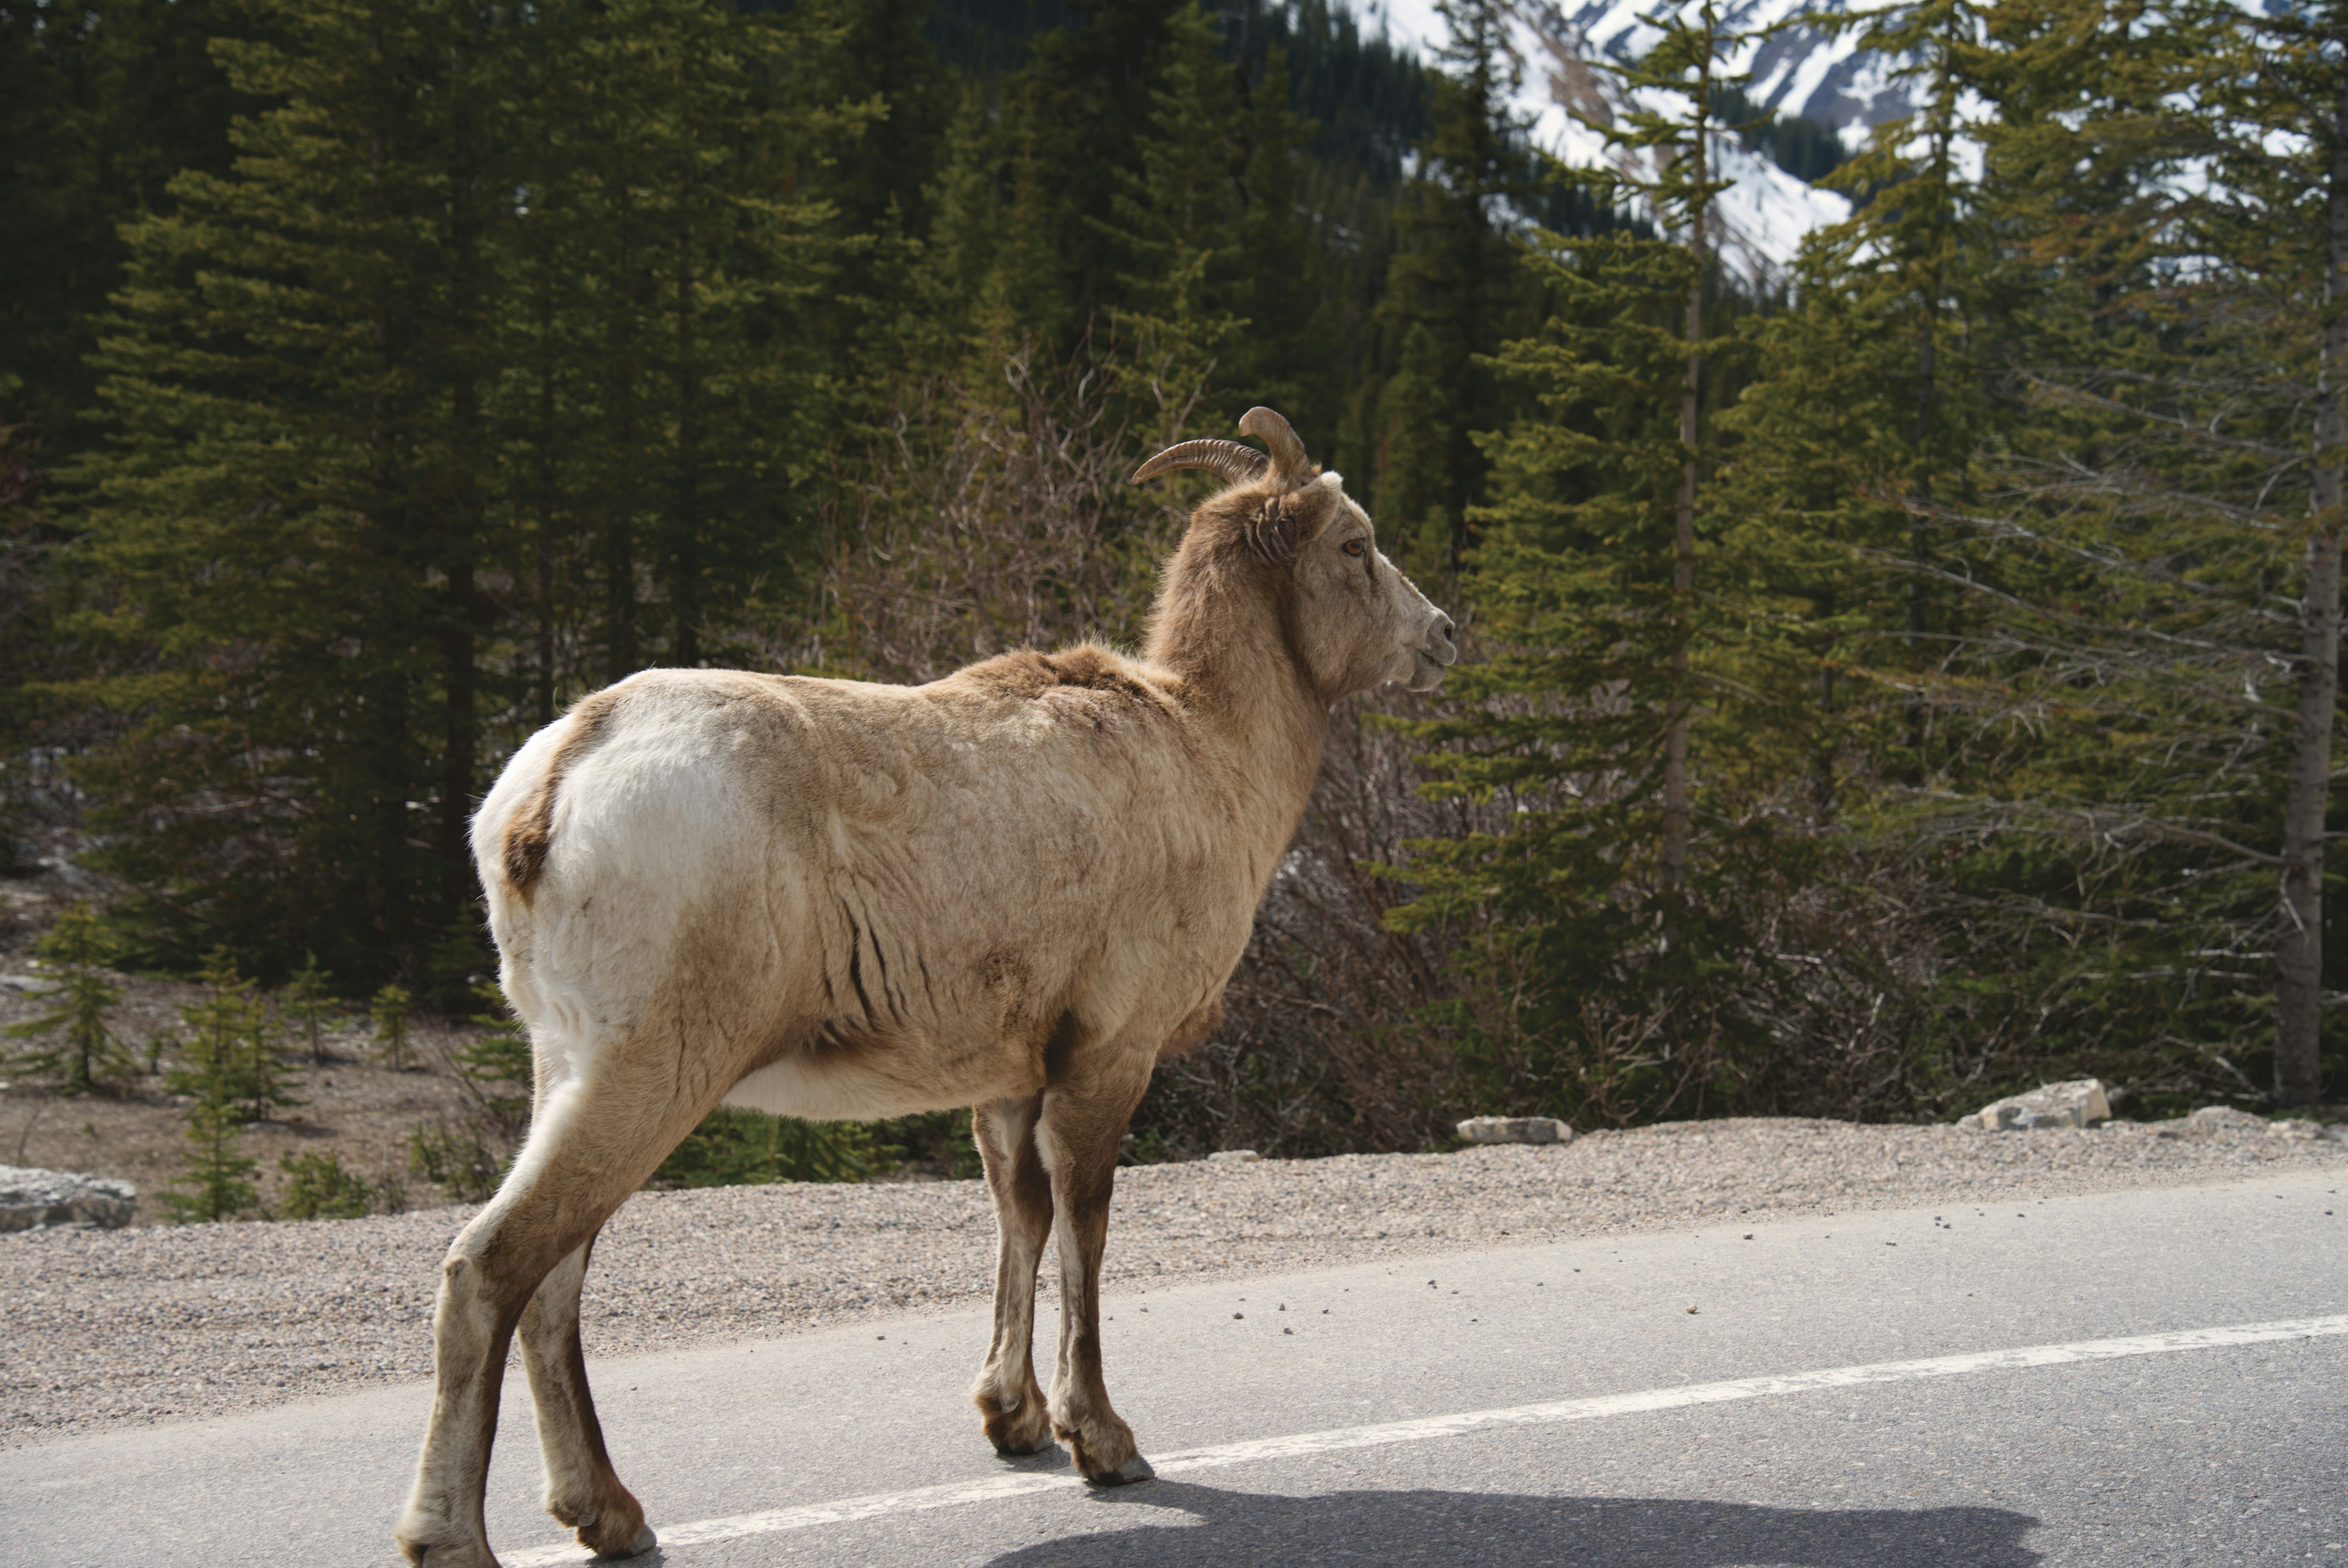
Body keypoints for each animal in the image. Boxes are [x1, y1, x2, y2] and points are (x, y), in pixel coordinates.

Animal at [394, 407, 1458, 1567]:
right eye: (1354, 543)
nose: (1443, 633)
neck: (1212, 756)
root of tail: (544, 797)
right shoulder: (1109, 1051)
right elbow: (1083, 1226)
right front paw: (1105, 1443)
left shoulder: (1008, 1073)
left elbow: (1018, 1216)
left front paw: (1013, 1422)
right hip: (653, 1067)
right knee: (491, 1265)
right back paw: (455, 1538)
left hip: (565, 1061)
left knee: (552, 1283)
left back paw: (612, 1515)